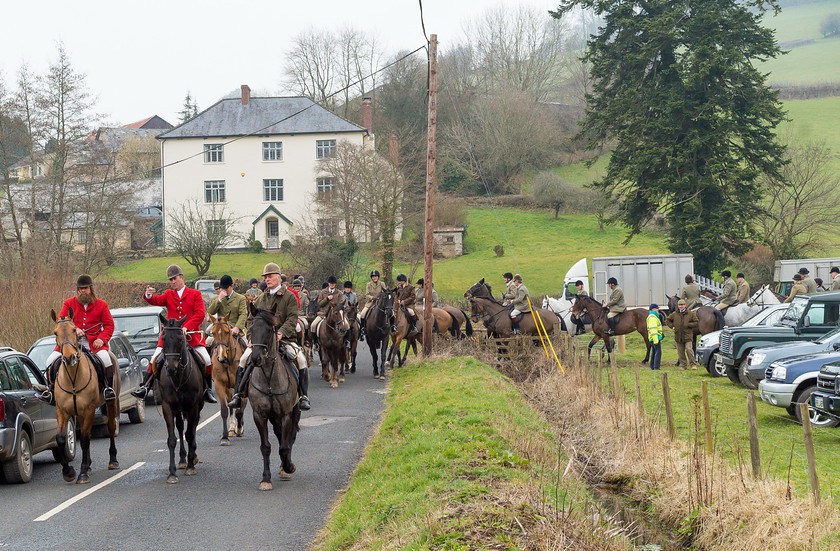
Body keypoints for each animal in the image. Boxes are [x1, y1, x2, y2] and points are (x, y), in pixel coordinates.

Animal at [50, 308, 120, 486]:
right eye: (55, 333)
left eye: (74, 330)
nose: (69, 358)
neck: (73, 379)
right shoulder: (62, 411)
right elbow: (61, 438)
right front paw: (68, 471)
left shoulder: (88, 410)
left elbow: (85, 441)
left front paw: (81, 474)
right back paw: (87, 465)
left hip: (111, 403)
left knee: (110, 427)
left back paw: (113, 460)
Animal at [158, 312, 205, 486]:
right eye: (163, 338)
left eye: (180, 339)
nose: (171, 368)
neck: (178, 377)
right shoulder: (167, 406)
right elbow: (172, 439)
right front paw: (172, 473)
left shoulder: (192, 406)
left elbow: (190, 434)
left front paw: (191, 466)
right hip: (178, 409)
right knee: (180, 427)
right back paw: (183, 459)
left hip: (197, 406)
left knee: (192, 427)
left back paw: (192, 456)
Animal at [209, 316, 246, 446]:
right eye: (213, 333)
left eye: (227, 332)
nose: (221, 357)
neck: (228, 361)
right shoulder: (219, 385)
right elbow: (225, 410)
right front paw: (224, 437)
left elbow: (240, 409)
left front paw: (239, 429)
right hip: (228, 388)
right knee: (231, 404)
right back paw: (231, 428)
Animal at [244, 304, 300, 494]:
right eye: (252, 328)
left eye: (270, 330)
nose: (256, 358)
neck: (269, 378)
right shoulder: (259, 415)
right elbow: (266, 447)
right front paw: (265, 479)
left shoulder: (286, 414)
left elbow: (284, 446)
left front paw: (288, 467)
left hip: (295, 412)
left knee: (290, 438)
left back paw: (286, 466)